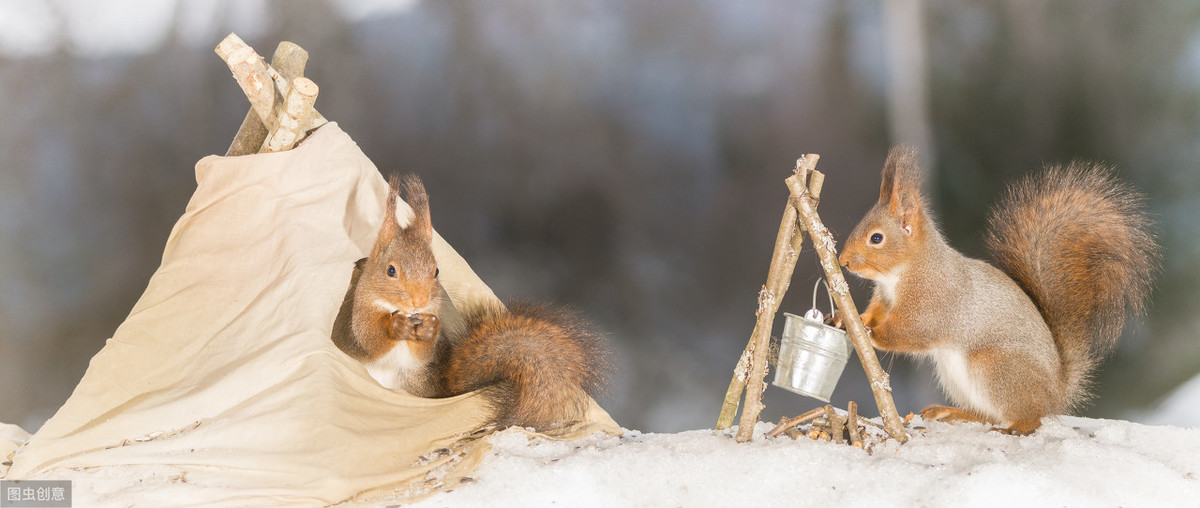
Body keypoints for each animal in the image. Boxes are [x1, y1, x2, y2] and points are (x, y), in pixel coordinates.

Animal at [328, 172, 609, 432]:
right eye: (390, 270)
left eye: (436, 271)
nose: (419, 301)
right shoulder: (357, 316)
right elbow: (369, 340)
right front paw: (395, 326)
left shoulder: (423, 357)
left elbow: (422, 354)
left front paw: (430, 329)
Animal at [840, 145, 1156, 434]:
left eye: (876, 238)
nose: (842, 261)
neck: (899, 275)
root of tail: (1055, 394)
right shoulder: (884, 298)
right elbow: (877, 311)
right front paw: (853, 319)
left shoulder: (933, 301)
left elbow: (912, 332)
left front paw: (872, 334)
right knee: (986, 415)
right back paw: (951, 412)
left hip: (995, 369)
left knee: (1027, 417)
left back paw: (1014, 427)